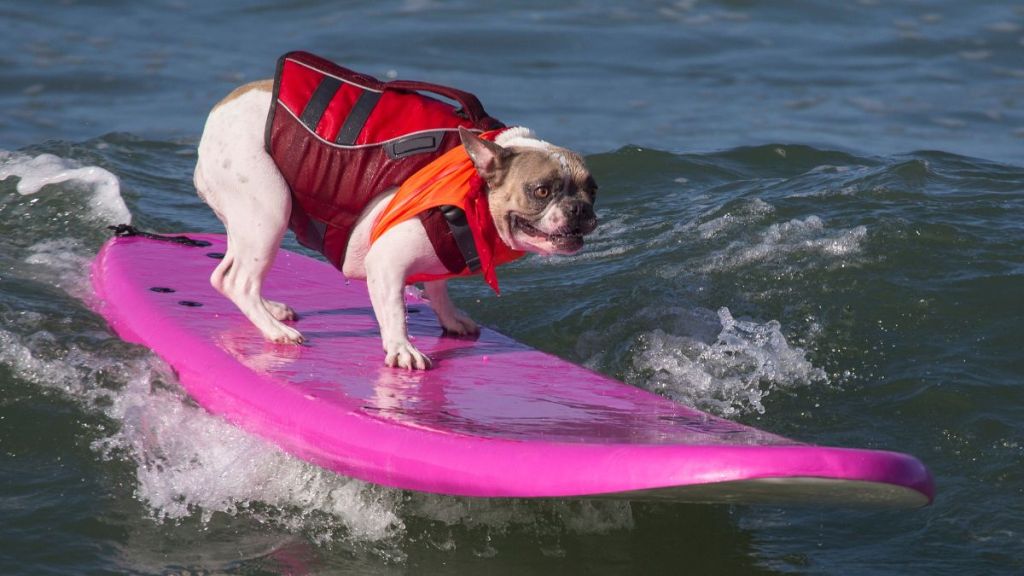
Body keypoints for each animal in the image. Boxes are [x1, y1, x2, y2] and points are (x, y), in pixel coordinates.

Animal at [192, 62, 598, 368]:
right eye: (541, 190)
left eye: (593, 190)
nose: (580, 208)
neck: (474, 186)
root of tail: (217, 115)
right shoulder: (386, 263)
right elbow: (395, 309)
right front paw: (402, 349)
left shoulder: (441, 249)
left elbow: (438, 287)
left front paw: (450, 318)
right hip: (270, 210)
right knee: (238, 281)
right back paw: (275, 330)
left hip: (247, 221)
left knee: (225, 272)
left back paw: (271, 310)